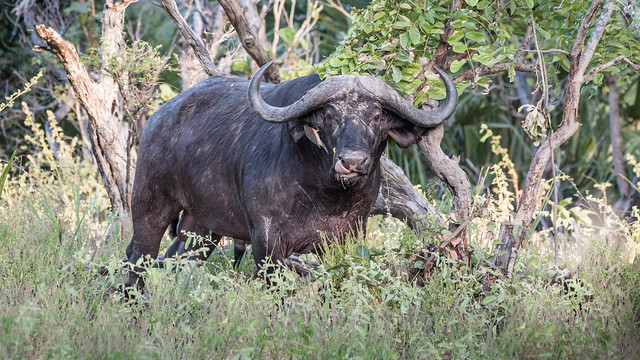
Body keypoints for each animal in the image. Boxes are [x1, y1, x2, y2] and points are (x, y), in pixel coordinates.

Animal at [125, 61, 456, 286]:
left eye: (376, 115)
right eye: (330, 115)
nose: (352, 161)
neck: (322, 192)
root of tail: (156, 119)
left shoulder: (348, 235)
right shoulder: (266, 239)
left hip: (201, 228)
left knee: (175, 260)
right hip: (150, 207)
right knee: (138, 256)